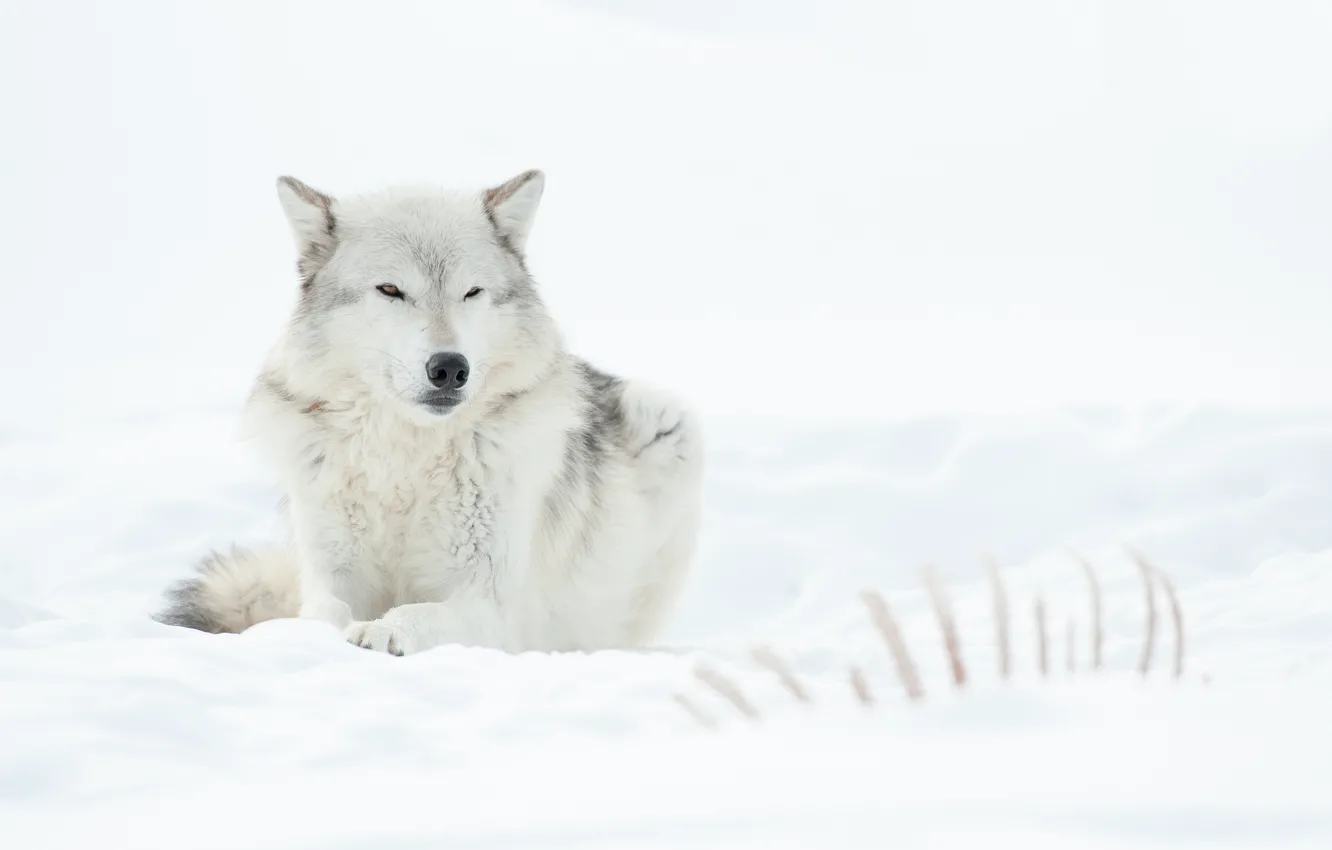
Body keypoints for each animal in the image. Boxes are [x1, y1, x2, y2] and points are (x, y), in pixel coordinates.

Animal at [154, 170, 704, 655]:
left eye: (471, 292)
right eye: (391, 290)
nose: (450, 368)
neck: (407, 460)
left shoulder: (488, 603)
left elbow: (419, 613)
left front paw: (382, 632)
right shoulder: (331, 574)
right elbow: (324, 614)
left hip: (665, 422)